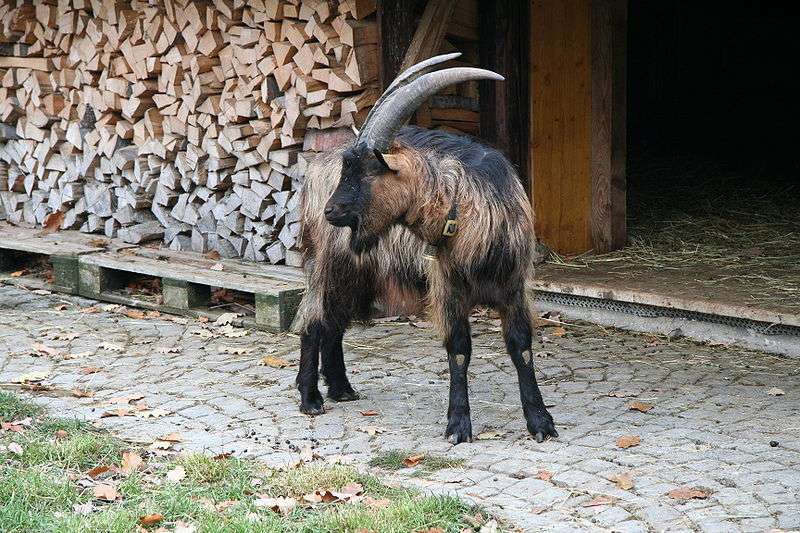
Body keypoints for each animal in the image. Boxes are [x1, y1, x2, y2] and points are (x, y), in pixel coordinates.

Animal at [293, 54, 558, 444]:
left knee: (334, 324)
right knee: (314, 321)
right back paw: (311, 398)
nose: (332, 211)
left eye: (367, 172)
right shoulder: (448, 288)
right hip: (331, 263)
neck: (465, 208)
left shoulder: (513, 286)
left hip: (358, 273)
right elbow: (459, 350)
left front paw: (540, 422)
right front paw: (458, 425)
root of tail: (312, 173)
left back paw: (341, 389)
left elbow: (521, 347)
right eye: (347, 170)